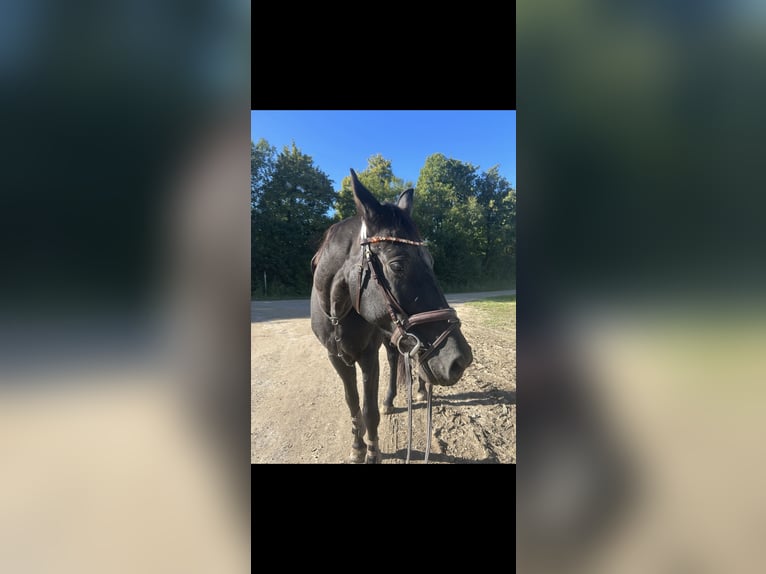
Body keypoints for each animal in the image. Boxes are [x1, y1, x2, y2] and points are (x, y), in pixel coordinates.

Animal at [310, 169, 473, 463]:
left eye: (431, 262)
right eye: (397, 265)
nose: (460, 359)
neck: (338, 314)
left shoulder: (368, 356)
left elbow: (369, 410)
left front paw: (373, 451)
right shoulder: (337, 358)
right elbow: (353, 404)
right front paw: (357, 447)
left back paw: (417, 391)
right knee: (397, 358)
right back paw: (391, 400)